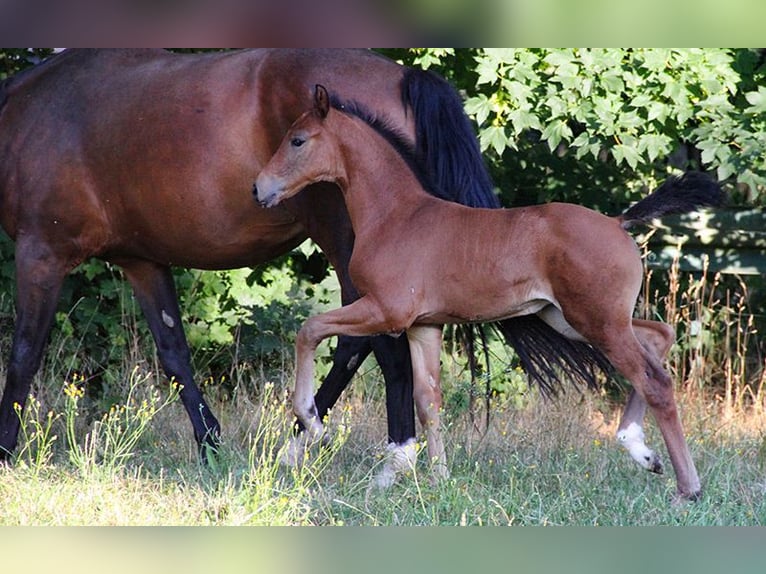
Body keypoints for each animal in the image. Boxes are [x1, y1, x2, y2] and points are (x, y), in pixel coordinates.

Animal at [0, 48, 510, 472]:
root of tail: (406, 76)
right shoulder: (142, 261)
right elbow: (174, 353)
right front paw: (210, 444)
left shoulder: (42, 252)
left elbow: (23, 352)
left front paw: (5, 450)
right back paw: (301, 444)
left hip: (347, 249)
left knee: (371, 342)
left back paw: (385, 454)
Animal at [255, 84, 728, 500]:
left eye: (297, 140)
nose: (259, 188)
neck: (396, 215)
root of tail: (618, 222)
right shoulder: (423, 326)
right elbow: (428, 400)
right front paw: (440, 480)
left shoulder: (386, 312)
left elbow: (309, 329)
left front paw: (313, 423)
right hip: (574, 319)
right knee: (659, 336)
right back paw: (641, 450)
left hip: (596, 321)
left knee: (655, 381)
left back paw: (687, 488)